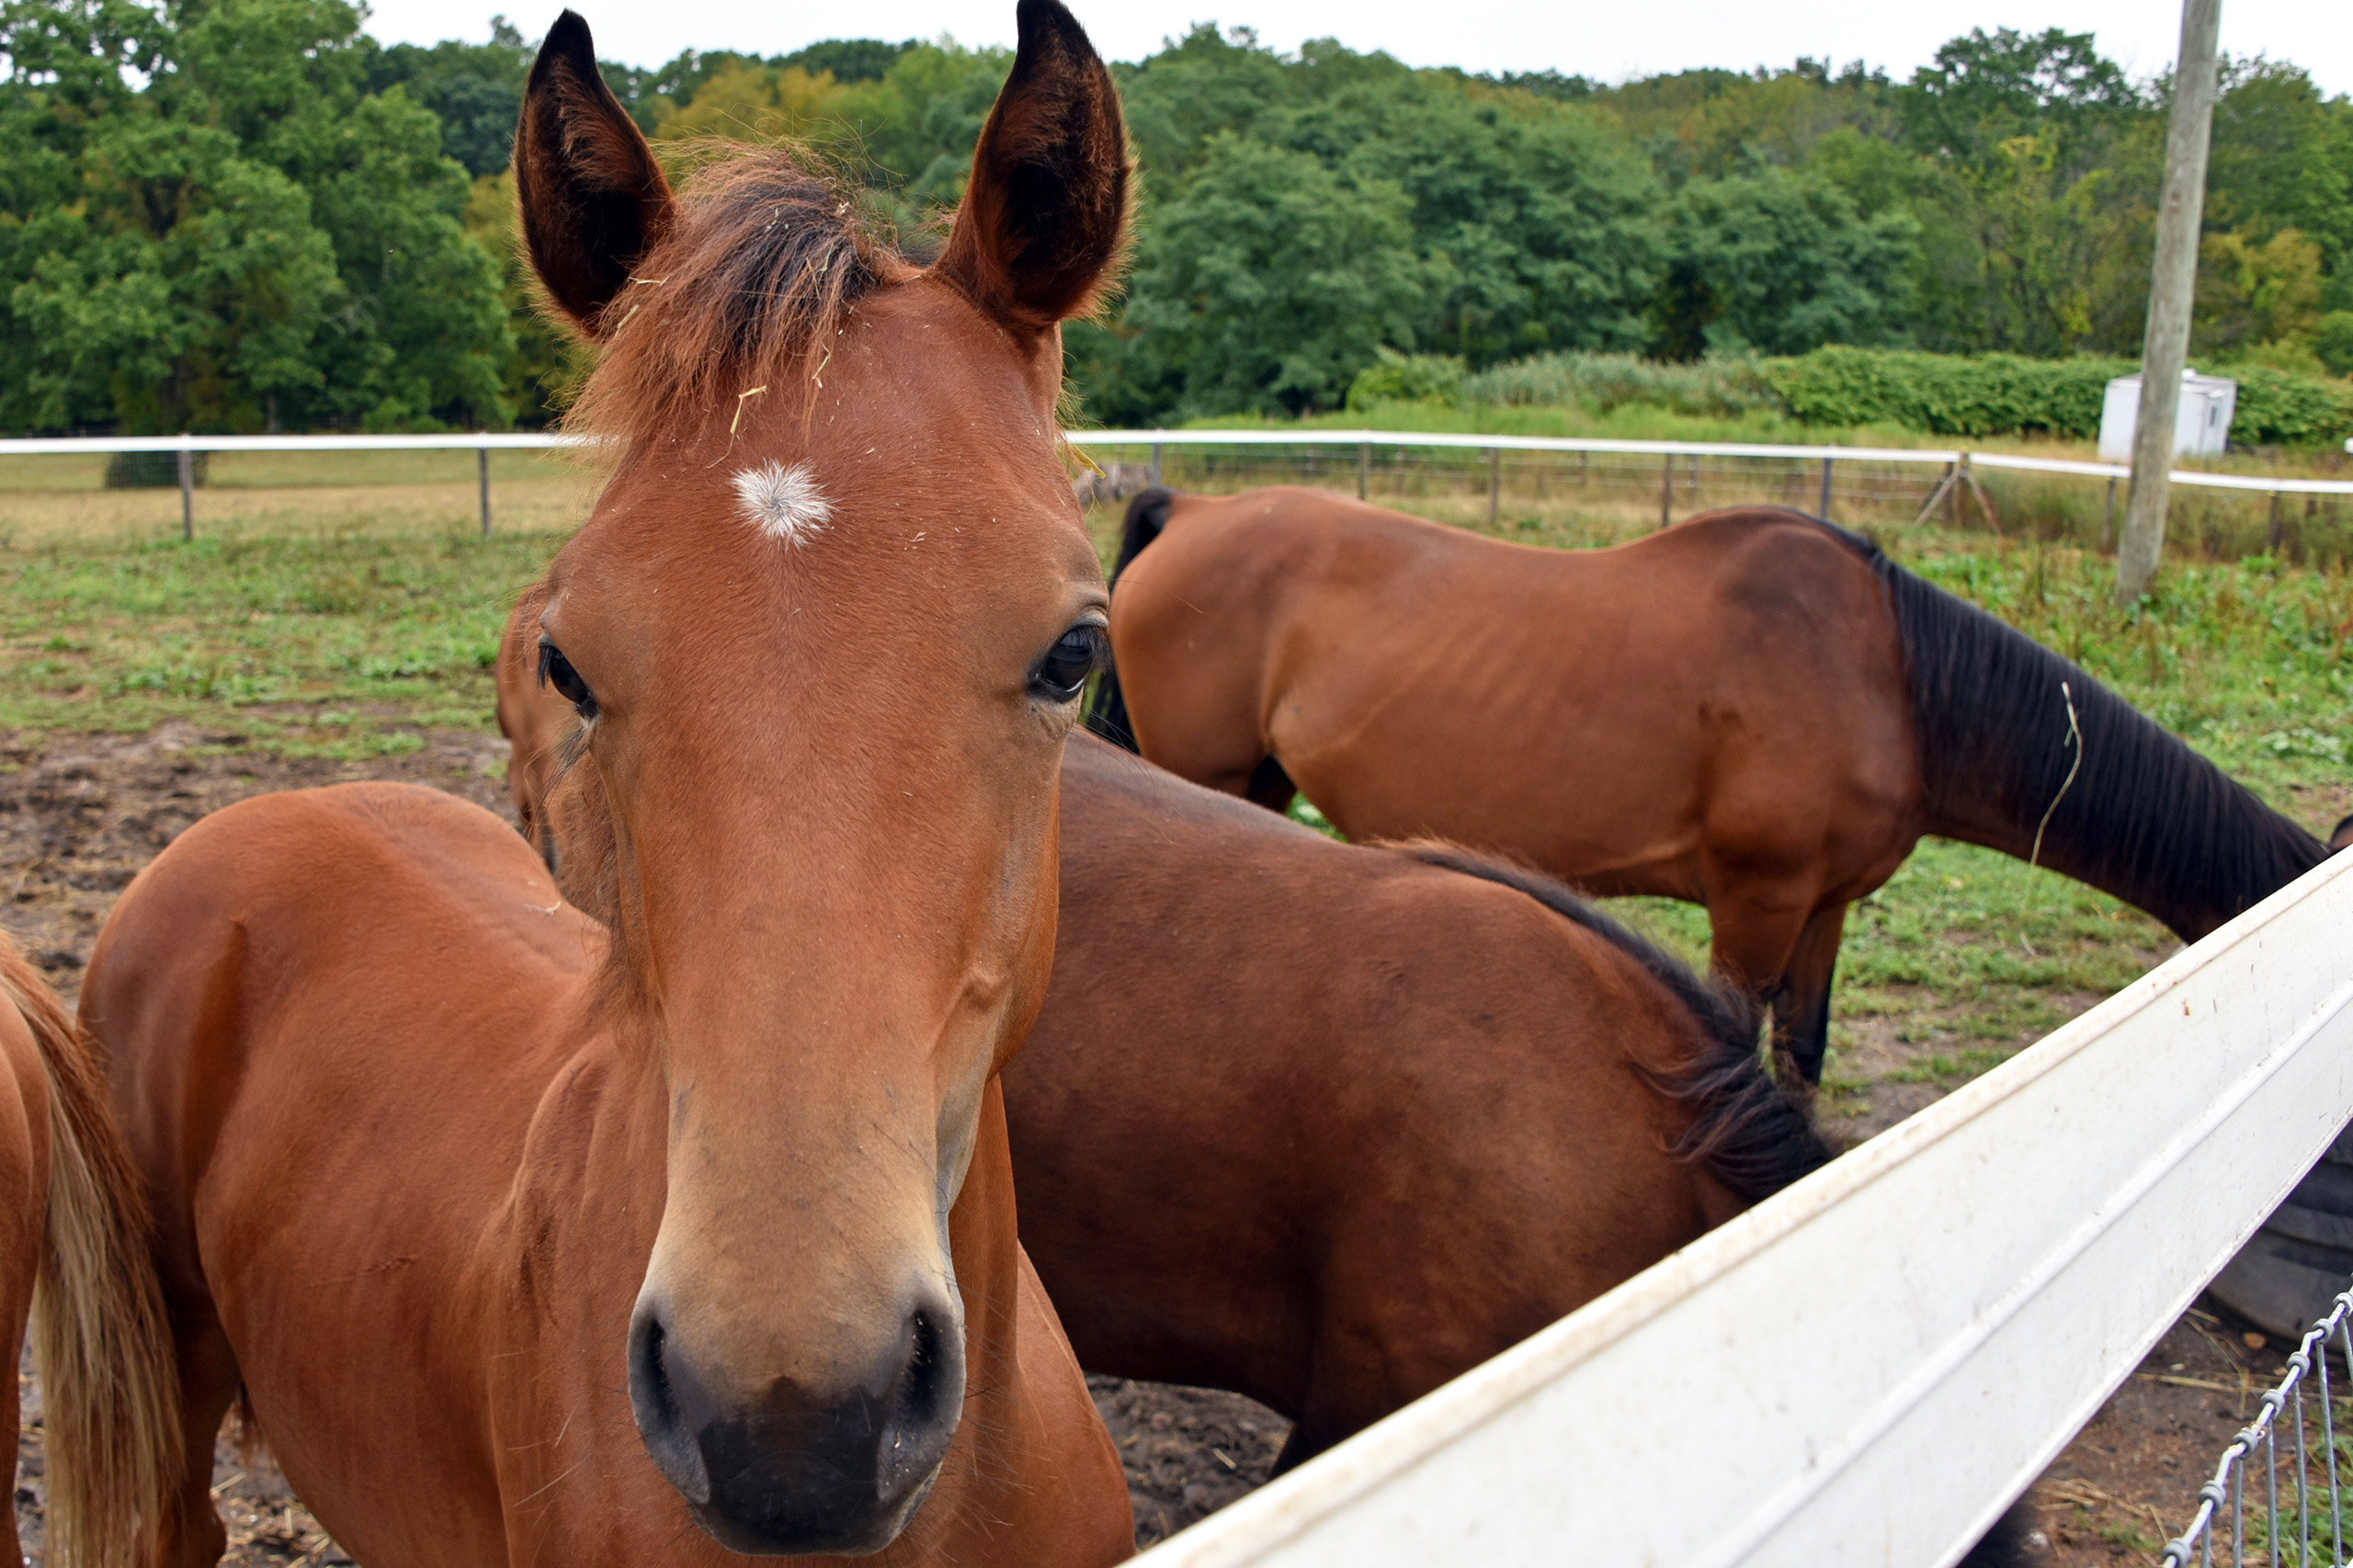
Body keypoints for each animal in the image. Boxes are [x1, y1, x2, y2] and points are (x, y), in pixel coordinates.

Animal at [1086, 484, 2334, 1074]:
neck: (1888, 679)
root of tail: (1192, 509)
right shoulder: (1755, 901)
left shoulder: (1825, 907)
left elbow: (1805, 1049)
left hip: (1253, 787)